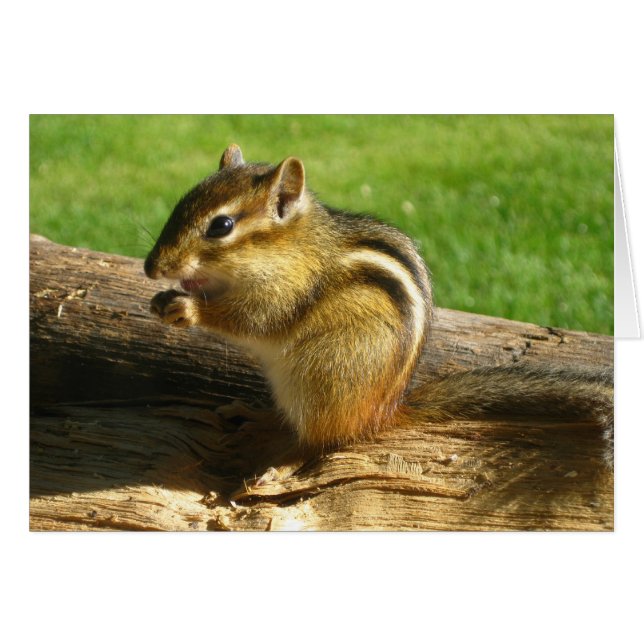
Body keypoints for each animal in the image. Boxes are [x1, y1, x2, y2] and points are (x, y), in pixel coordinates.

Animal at [144, 144, 613, 464]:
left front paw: (188, 309)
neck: (290, 247)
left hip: (322, 376)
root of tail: (382, 413)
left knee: (318, 441)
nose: (151, 267)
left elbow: (253, 320)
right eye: (180, 204)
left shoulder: (286, 292)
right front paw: (163, 298)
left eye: (221, 226)